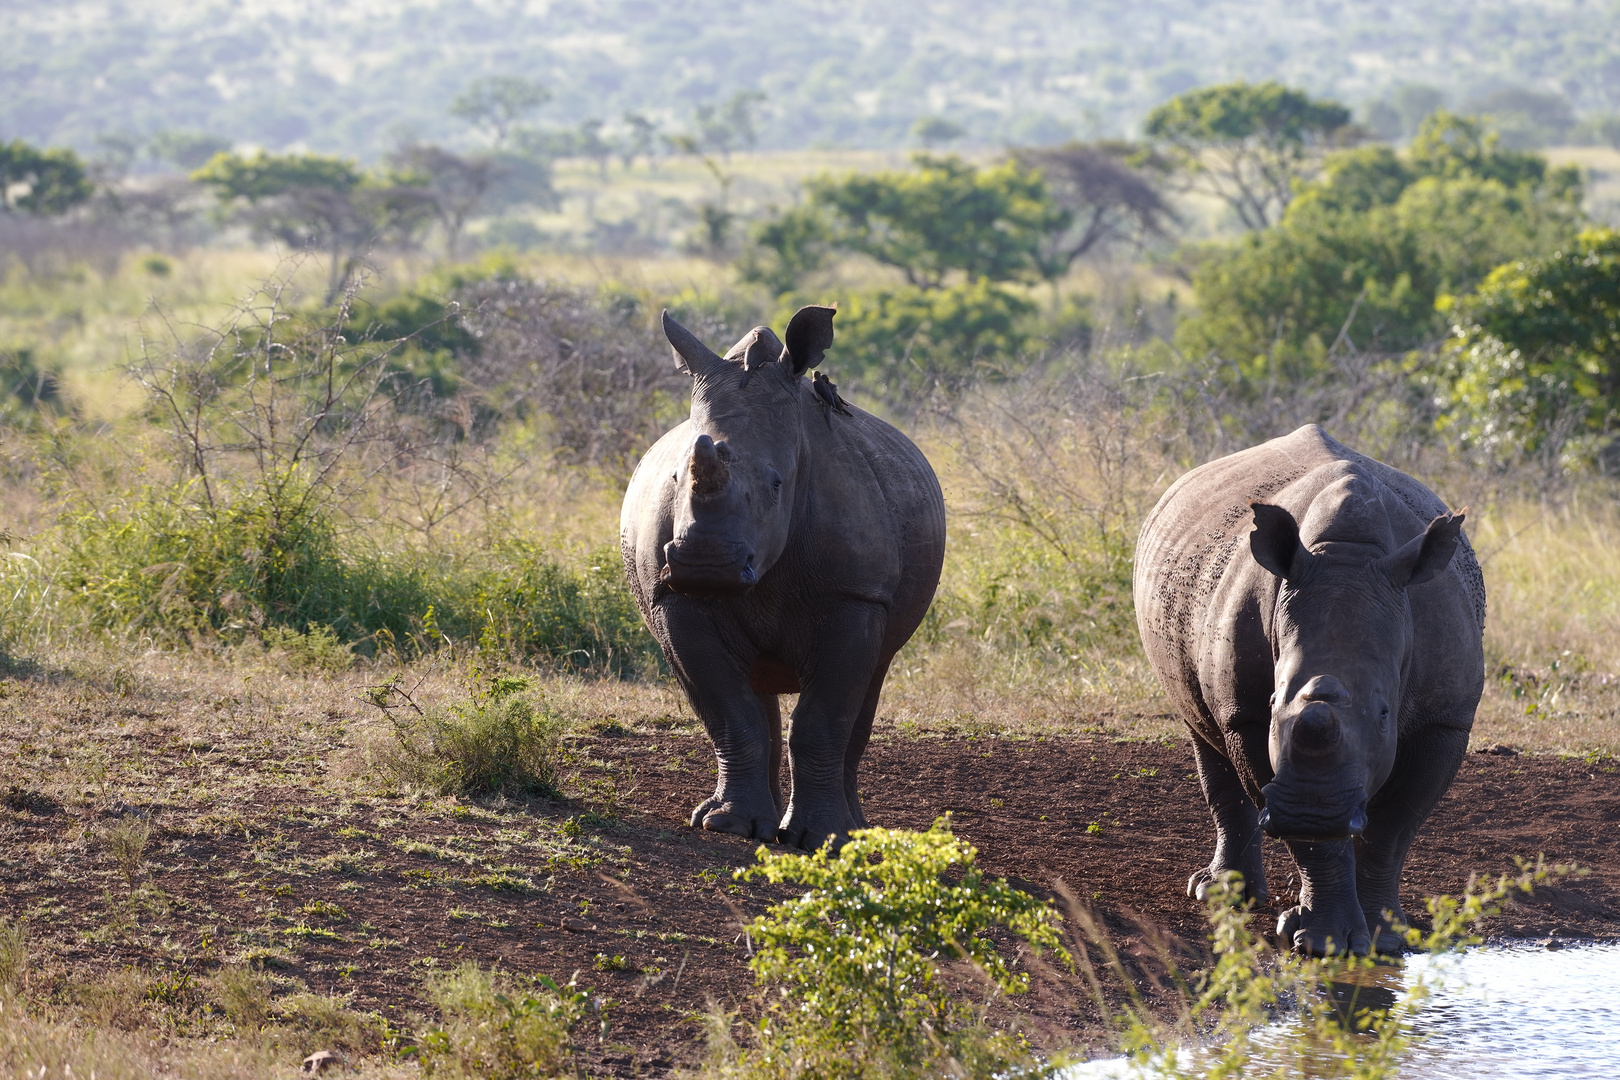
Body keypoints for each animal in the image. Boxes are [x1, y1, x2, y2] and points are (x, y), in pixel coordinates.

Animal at [618, 306, 946, 854]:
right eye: (675, 480)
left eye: (777, 484)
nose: (706, 565)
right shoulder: (675, 601)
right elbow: (732, 713)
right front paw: (728, 827)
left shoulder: (856, 598)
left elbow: (823, 721)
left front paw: (823, 838)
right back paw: (741, 819)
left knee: (870, 685)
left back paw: (854, 831)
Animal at [1134, 424, 1483, 952]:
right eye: (1274, 701)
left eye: (1386, 714)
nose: (1311, 812)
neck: (1348, 558)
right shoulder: (1247, 714)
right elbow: (1308, 836)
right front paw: (1323, 942)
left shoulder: (1446, 719)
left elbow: (1392, 829)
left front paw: (1384, 938)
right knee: (1203, 733)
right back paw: (1220, 894)